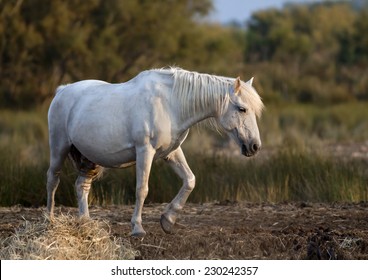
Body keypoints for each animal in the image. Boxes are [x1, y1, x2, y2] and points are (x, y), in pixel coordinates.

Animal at [46, 68, 264, 236]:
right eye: (242, 109)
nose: (255, 146)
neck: (169, 104)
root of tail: (62, 90)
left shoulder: (172, 152)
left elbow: (190, 180)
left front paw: (168, 220)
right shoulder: (145, 151)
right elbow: (142, 189)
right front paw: (137, 228)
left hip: (89, 159)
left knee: (81, 186)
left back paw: (85, 223)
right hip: (58, 148)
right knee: (53, 179)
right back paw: (49, 220)